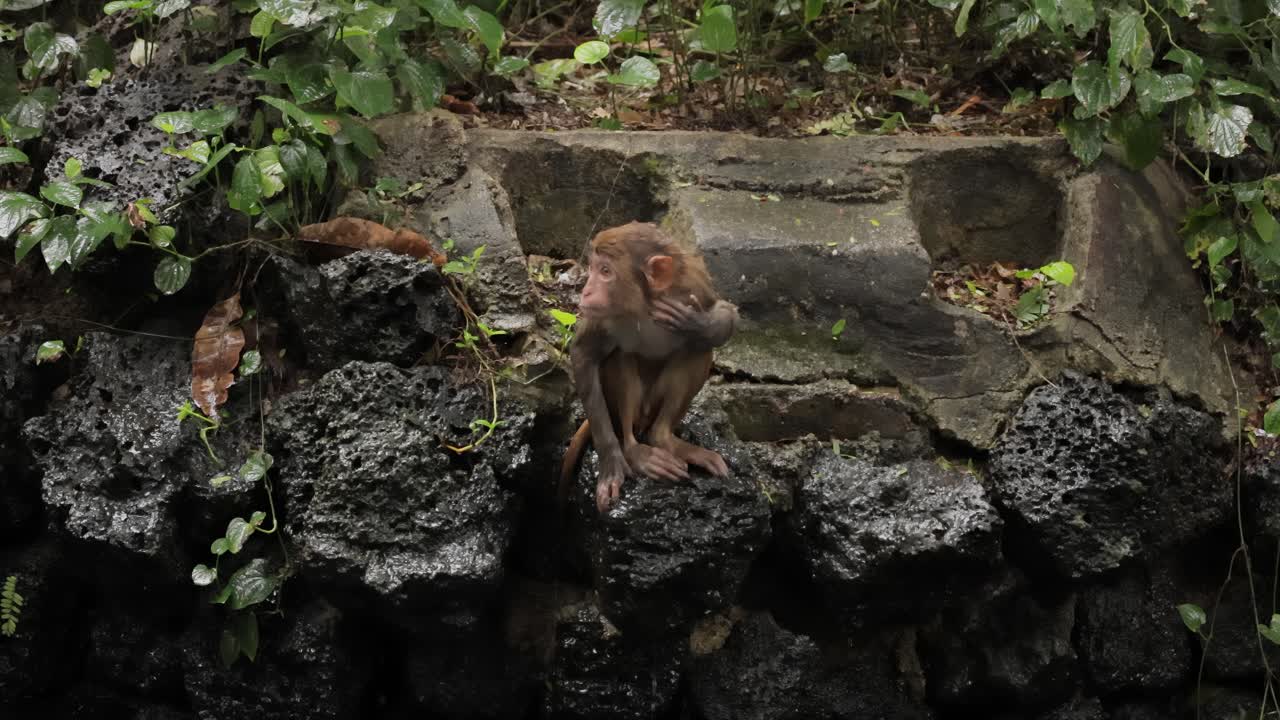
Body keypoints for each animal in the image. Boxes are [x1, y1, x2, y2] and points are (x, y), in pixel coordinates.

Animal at [559, 221, 739, 513]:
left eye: (605, 272)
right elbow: (584, 354)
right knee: (620, 358)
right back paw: (634, 451)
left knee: (697, 348)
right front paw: (611, 461)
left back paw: (663, 439)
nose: (585, 291)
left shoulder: (694, 286)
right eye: (594, 268)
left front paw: (698, 324)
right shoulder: (601, 315)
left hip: (655, 408)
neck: (642, 304)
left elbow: (724, 311)